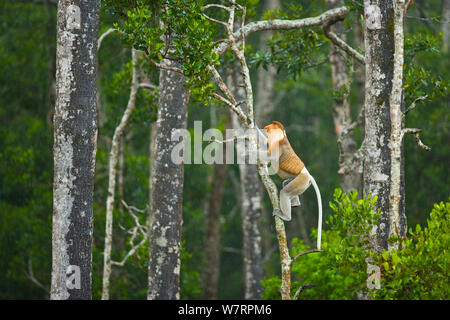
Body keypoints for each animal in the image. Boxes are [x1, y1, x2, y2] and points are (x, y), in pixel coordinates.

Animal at [264, 120, 324, 250]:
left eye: (270, 126)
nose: (266, 128)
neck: (282, 135)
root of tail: (308, 174)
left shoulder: (277, 145)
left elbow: (270, 157)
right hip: (301, 182)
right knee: (286, 184)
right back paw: (295, 203)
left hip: (301, 181)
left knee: (285, 193)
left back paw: (286, 216)